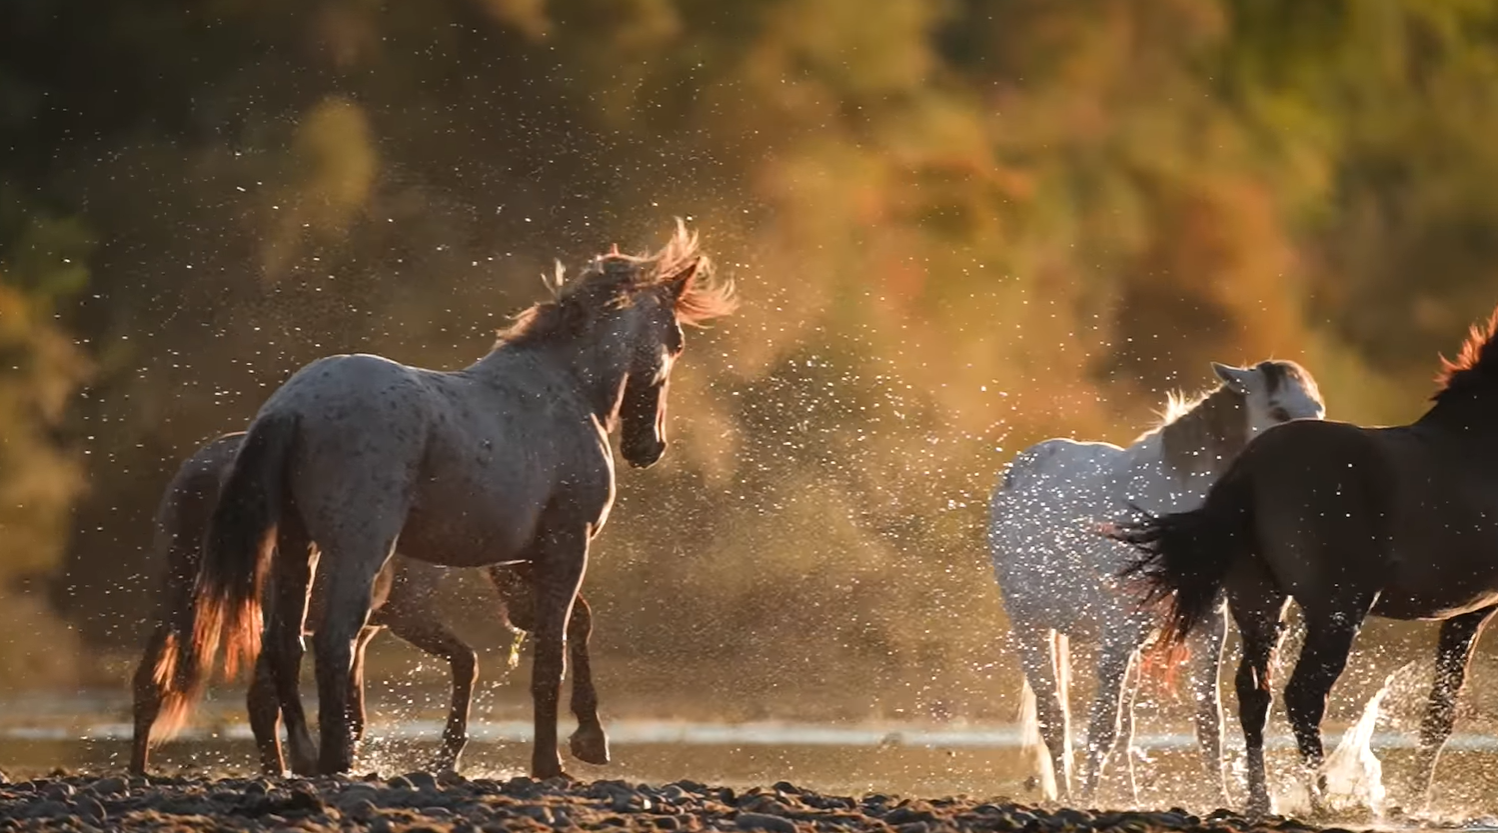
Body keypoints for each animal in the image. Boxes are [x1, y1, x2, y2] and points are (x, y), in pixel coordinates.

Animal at [130, 431, 596, 779]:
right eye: (528, 566)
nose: (533, 618)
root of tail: (205, 475)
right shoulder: (407, 615)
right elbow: (466, 662)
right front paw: (444, 758)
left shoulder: (365, 631)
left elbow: (353, 713)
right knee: (251, 698)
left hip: (177, 603)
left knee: (156, 686)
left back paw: (144, 770)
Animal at [994, 361, 1324, 803]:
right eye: (1278, 411)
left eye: (1319, 410)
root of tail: (1020, 468)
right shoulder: (1117, 635)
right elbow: (1102, 727)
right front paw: (1086, 801)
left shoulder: (1206, 630)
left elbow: (1208, 724)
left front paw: (1222, 800)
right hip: (1030, 626)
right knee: (1055, 719)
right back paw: (1068, 796)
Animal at [1114, 305, 1498, 815]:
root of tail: (1252, 468)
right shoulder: (1477, 610)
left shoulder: (1465, 614)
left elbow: (1439, 713)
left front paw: (1415, 804)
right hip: (1337, 610)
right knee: (1303, 696)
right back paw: (1322, 798)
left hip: (1259, 602)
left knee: (1255, 693)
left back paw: (1262, 799)